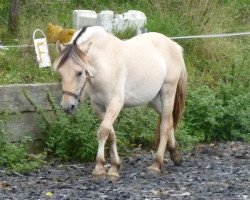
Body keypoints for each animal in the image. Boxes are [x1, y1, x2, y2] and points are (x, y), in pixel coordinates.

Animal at [53, 25, 187, 180]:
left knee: (165, 125)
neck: (103, 65)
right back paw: (175, 154)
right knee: (169, 119)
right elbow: (110, 134)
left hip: (168, 91)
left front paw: (100, 167)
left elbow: (103, 131)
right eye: (60, 73)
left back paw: (156, 164)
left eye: (79, 72)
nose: (67, 107)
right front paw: (114, 167)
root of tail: (173, 45)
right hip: (153, 98)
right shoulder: (99, 107)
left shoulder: (115, 104)